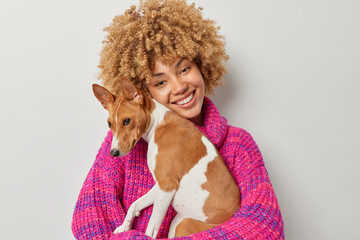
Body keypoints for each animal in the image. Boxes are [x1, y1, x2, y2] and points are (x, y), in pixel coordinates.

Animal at [91, 78, 240, 239]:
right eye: (109, 124)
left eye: (127, 121)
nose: (113, 152)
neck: (158, 124)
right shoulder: (161, 185)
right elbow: (135, 204)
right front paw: (124, 226)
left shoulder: (167, 186)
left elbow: (151, 228)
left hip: (184, 224)